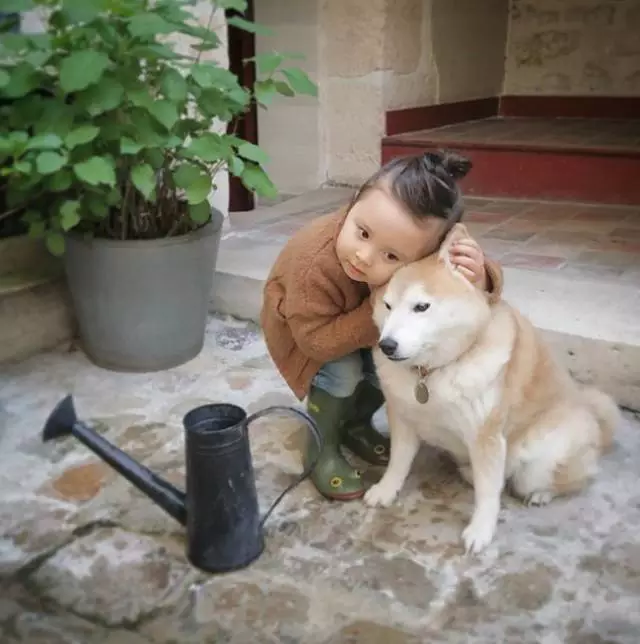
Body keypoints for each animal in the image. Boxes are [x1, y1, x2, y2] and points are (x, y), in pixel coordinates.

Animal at [364, 224, 620, 552]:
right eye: (388, 306)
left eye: (421, 307)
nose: (387, 345)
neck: (433, 372)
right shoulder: (403, 417)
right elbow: (398, 462)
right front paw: (386, 490)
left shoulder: (486, 436)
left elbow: (488, 494)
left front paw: (481, 530)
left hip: (538, 461)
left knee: (573, 480)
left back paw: (542, 494)